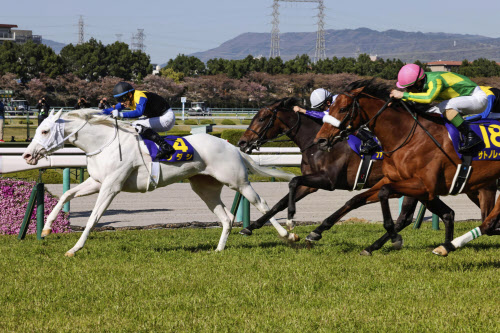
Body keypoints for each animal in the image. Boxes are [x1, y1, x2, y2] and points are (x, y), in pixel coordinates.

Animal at [22, 108, 296, 254]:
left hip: (237, 181)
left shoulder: (111, 187)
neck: (104, 142)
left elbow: (93, 218)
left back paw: (287, 234)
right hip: (204, 188)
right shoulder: (97, 182)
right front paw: (46, 229)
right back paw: (218, 250)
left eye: (44, 130)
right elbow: (66, 195)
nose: (26, 155)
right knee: (226, 217)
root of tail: (232, 146)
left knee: (261, 203)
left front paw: (74, 249)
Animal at [238, 97, 496, 253]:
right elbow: (282, 199)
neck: (315, 142)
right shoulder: (312, 183)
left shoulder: (328, 181)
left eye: (262, 118)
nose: (242, 142)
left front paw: (292, 220)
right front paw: (252, 227)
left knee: (411, 217)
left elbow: (292, 182)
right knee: (439, 214)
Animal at [312, 79, 500, 255]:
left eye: (343, 109)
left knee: (487, 221)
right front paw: (317, 231)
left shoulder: (424, 186)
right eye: (329, 108)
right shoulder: (394, 180)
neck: (407, 136)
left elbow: (384, 193)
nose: (320, 140)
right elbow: (356, 199)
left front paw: (395, 238)